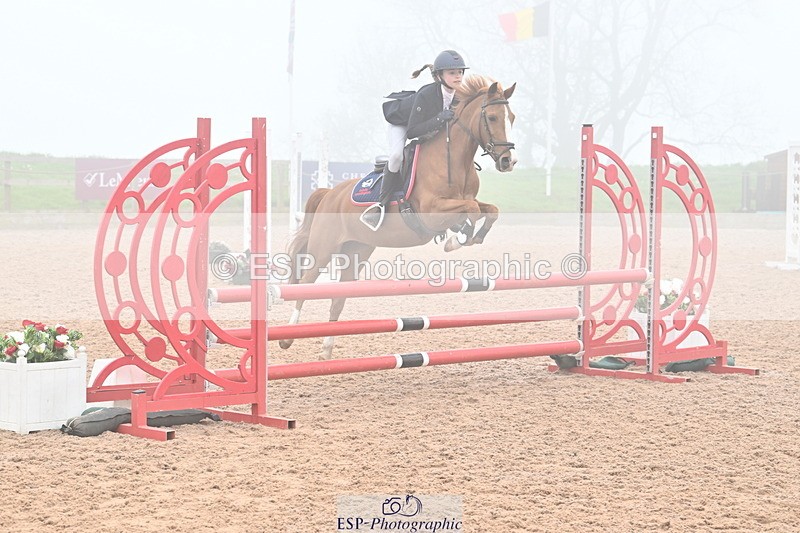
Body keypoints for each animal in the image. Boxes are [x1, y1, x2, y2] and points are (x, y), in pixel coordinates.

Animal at [279, 75, 518, 359]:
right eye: (491, 117)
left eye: (512, 117)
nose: (508, 161)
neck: (453, 159)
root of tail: (329, 194)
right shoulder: (432, 212)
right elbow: (471, 209)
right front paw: (457, 238)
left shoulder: (464, 202)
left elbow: (489, 210)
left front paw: (470, 236)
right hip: (323, 248)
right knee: (306, 283)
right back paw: (287, 338)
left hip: (356, 250)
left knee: (338, 297)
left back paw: (326, 351)